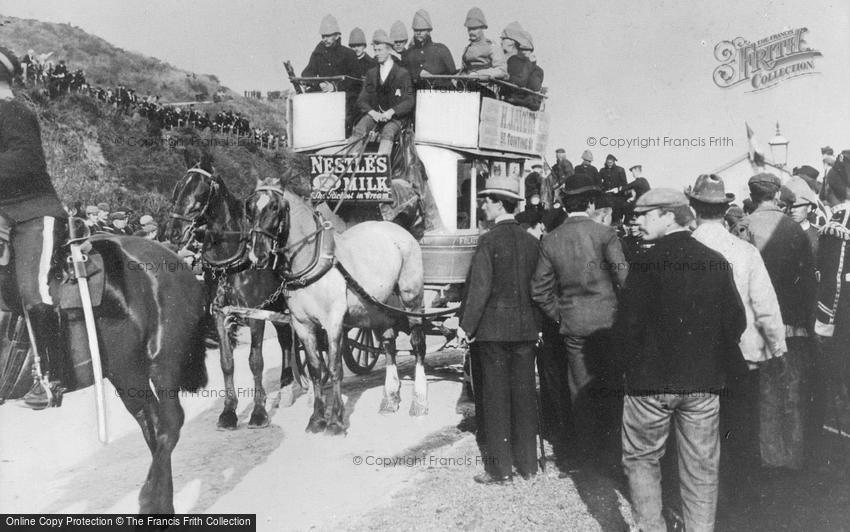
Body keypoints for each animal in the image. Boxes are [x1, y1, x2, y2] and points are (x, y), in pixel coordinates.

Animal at [1, 231, 209, 512]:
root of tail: (176, 259)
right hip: (126, 370)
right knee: (151, 421)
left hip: (161, 361)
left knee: (170, 422)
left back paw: (150, 501)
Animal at [167, 164, 296, 430]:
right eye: (178, 186)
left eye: (199, 189)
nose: (173, 232)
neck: (231, 263)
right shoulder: (220, 316)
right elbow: (226, 362)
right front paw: (229, 411)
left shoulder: (256, 314)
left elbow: (255, 361)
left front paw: (258, 412)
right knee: (286, 339)